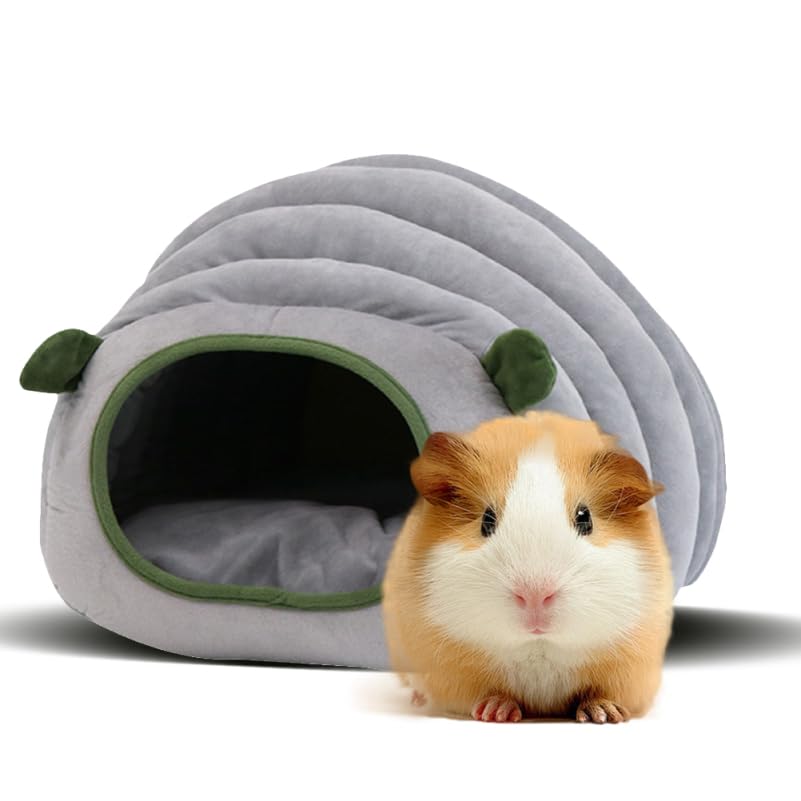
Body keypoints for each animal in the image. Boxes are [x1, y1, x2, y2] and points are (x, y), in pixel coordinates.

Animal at [382, 411, 674, 723]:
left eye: (585, 518)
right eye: (487, 520)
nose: (535, 595)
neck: (539, 648)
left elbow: (600, 693)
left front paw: (605, 714)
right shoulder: (454, 674)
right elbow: (487, 694)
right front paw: (496, 712)